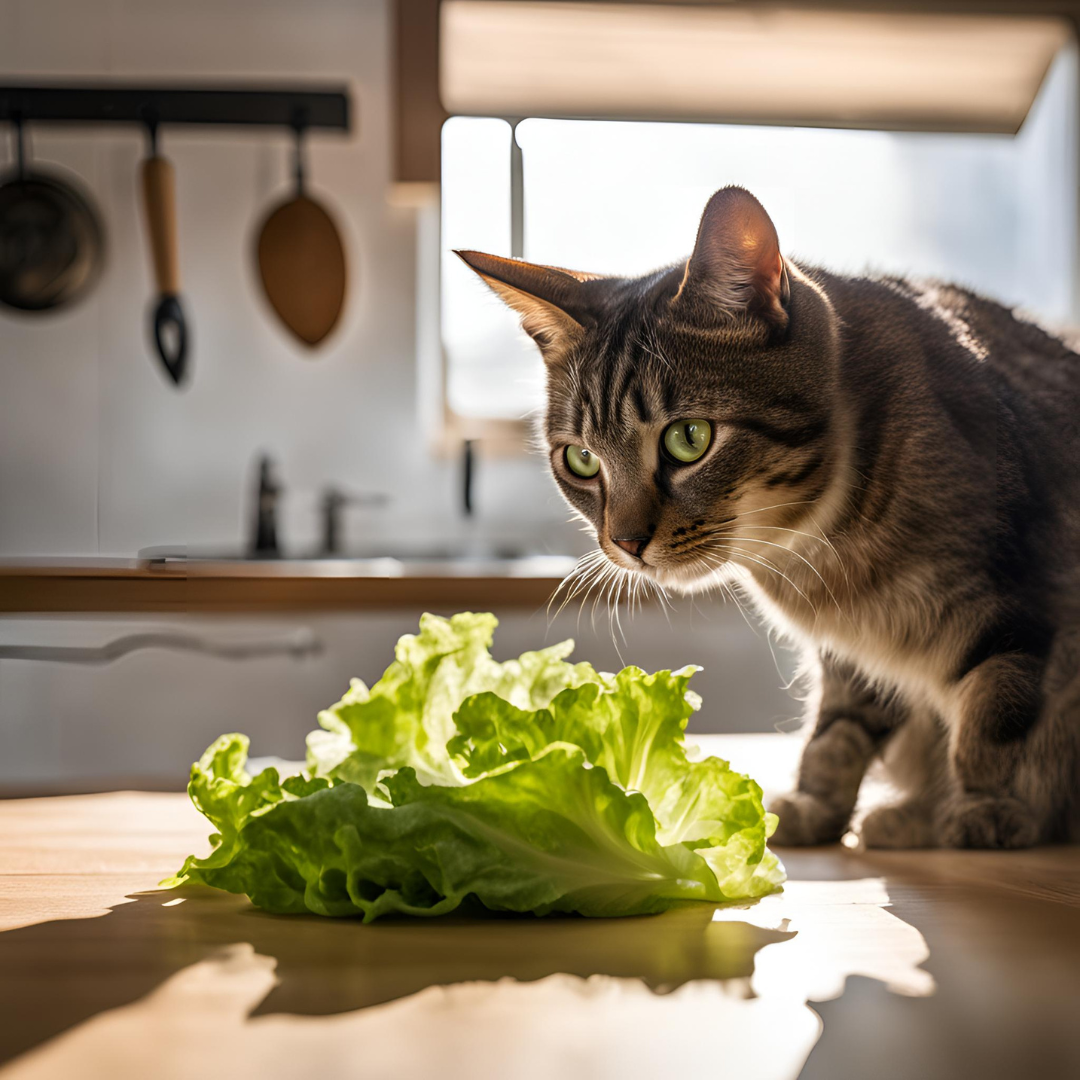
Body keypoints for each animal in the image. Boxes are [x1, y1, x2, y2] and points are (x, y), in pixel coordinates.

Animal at [460, 187, 1080, 851]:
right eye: (581, 460)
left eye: (688, 438)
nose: (625, 543)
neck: (823, 550)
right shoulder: (853, 652)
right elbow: (836, 734)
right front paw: (817, 805)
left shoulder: (1010, 597)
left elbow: (991, 719)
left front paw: (986, 810)